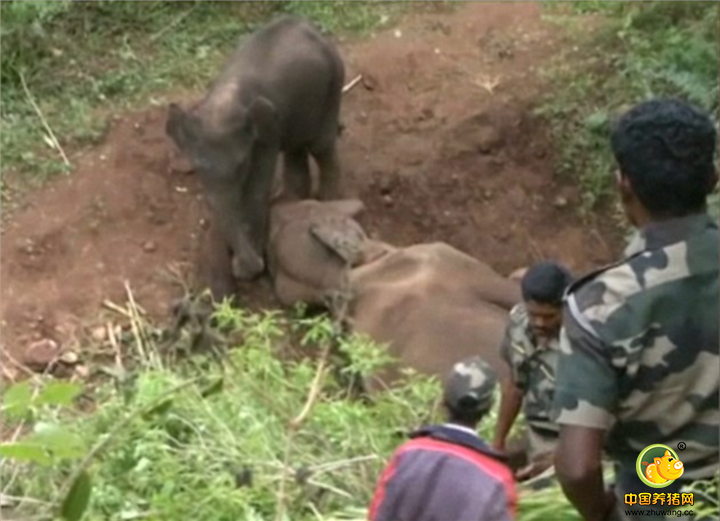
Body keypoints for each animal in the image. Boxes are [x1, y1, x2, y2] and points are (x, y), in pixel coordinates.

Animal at [169, 15, 348, 300]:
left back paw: (327, 201)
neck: (225, 99)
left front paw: (247, 272)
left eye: (242, 165)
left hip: (334, 82)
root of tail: (312, 28)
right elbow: (218, 202)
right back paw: (292, 199)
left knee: (321, 145)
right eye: (196, 169)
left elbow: (255, 189)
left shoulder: (267, 130)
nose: (250, 264)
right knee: (296, 149)